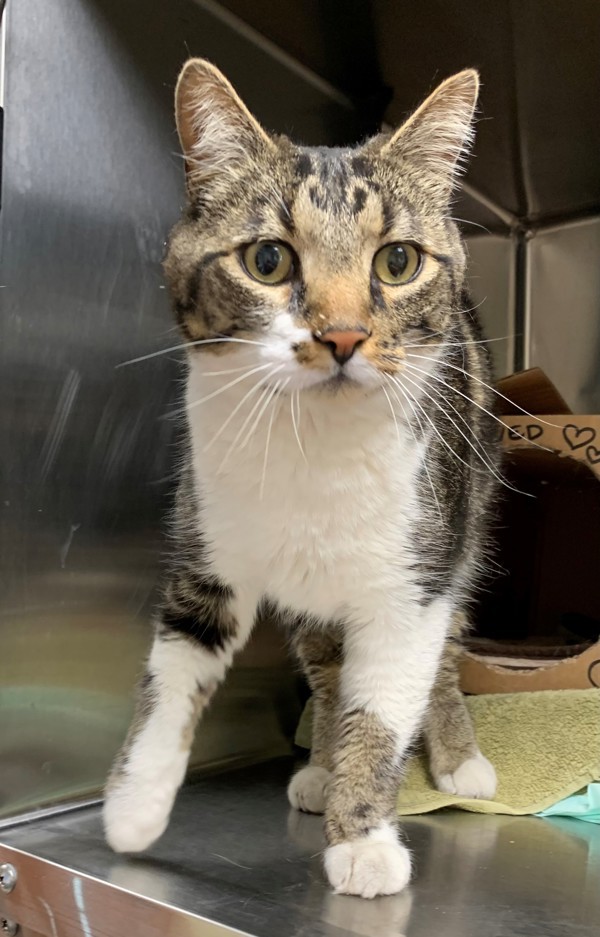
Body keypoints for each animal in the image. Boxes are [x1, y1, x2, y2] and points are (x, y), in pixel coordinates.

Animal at [103, 58, 496, 900]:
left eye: (398, 261)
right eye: (268, 260)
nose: (342, 335)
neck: (313, 444)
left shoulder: (412, 583)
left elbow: (382, 710)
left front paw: (365, 837)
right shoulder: (207, 557)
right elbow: (171, 676)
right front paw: (134, 805)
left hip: (464, 522)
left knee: (442, 656)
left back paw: (458, 759)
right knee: (324, 666)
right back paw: (319, 764)